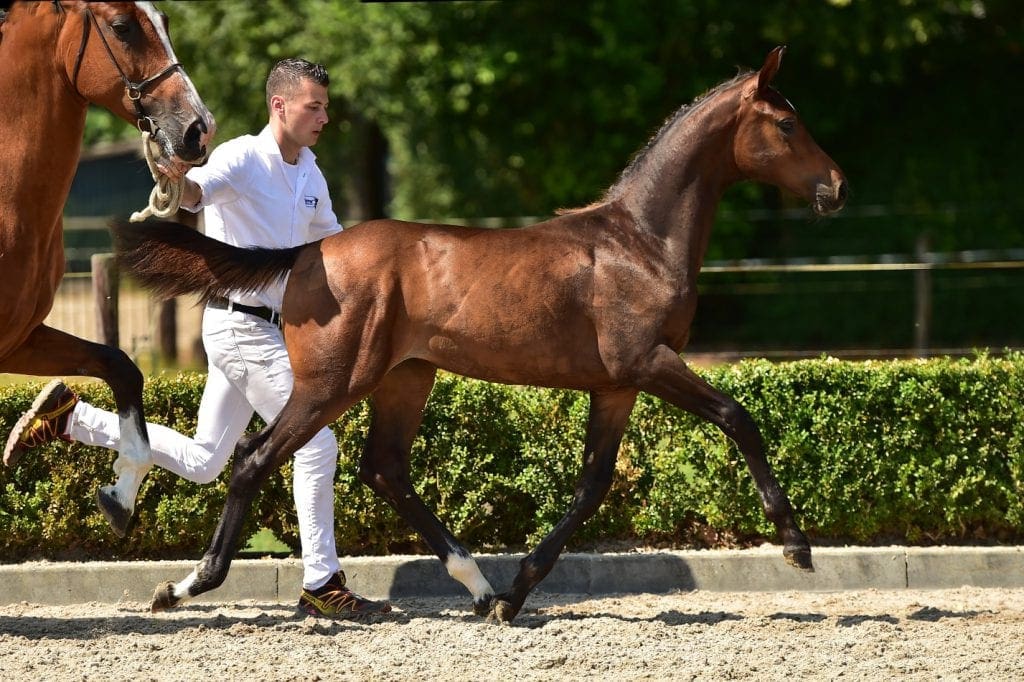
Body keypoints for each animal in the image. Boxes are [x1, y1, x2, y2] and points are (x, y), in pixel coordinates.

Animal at [0, 1, 215, 536]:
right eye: (122, 27)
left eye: (165, 20)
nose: (199, 128)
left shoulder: (20, 339)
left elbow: (121, 367)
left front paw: (120, 495)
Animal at [113, 46, 847, 622]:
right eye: (787, 123)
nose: (836, 188)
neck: (640, 242)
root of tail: (307, 254)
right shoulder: (649, 362)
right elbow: (738, 417)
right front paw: (796, 544)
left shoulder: (616, 385)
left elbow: (592, 485)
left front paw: (517, 594)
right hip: (332, 383)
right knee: (255, 459)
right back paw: (186, 585)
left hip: (405, 377)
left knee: (383, 468)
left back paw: (479, 586)